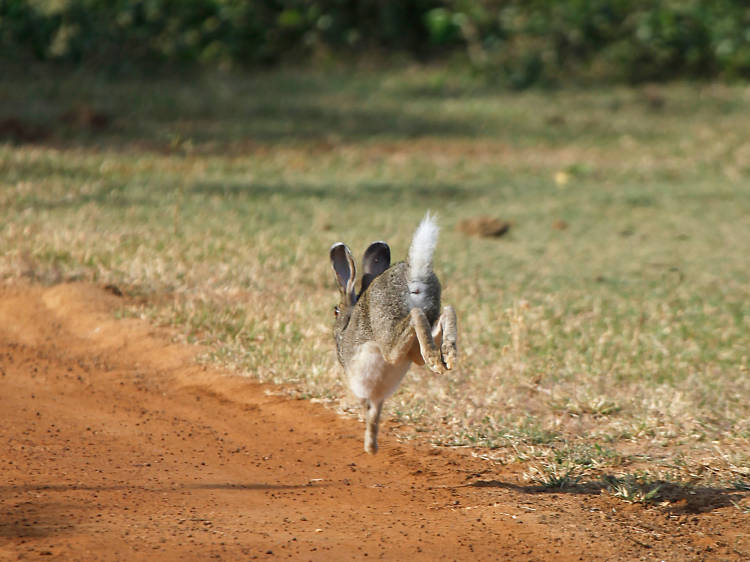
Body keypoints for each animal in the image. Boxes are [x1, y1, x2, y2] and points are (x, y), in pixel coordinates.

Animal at [330, 212, 458, 452]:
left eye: (335, 311)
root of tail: (413, 274)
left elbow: (370, 413)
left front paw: (370, 447)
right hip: (417, 342)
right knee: (447, 311)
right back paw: (447, 356)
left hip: (389, 339)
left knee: (415, 317)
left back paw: (436, 359)